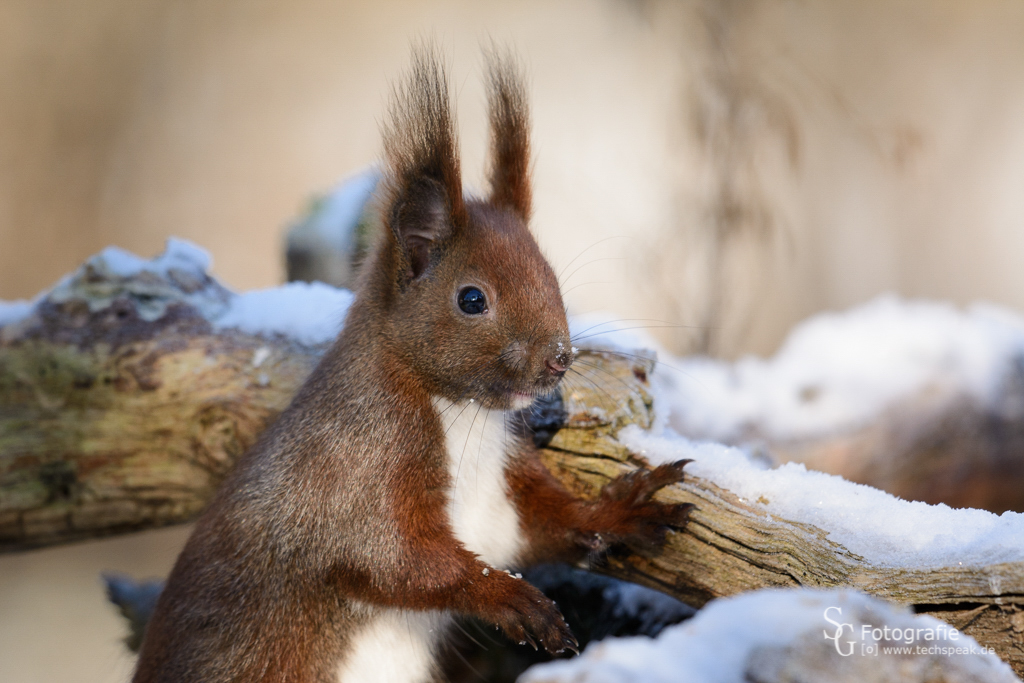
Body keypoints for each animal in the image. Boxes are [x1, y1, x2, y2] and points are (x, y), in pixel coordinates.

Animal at [132, 45, 692, 679]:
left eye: (550, 275)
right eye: (471, 299)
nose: (558, 359)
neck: (462, 415)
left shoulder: (497, 496)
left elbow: (546, 522)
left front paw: (619, 511)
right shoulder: (353, 469)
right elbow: (393, 558)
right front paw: (509, 596)